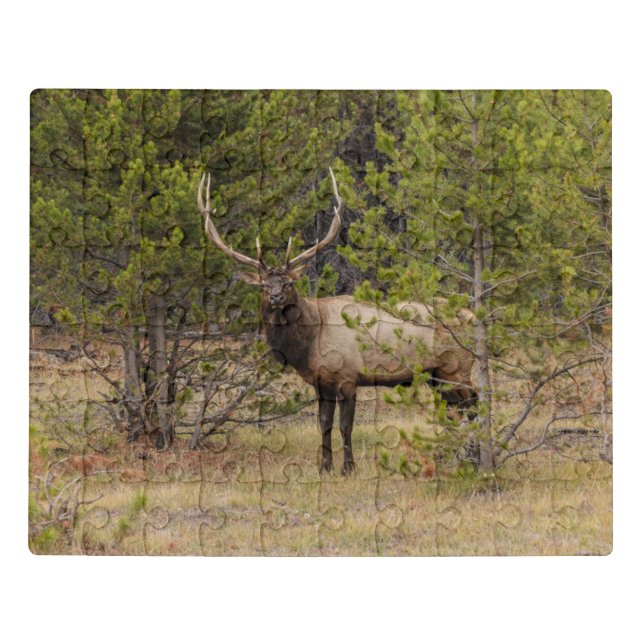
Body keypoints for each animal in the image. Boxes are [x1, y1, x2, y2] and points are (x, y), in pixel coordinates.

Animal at [197, 168, 478, 475]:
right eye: (263, 284)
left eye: (288, 283)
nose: (275, 297)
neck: (310, 344)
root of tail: (472, 315)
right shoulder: (321, 384)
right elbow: (324, 425)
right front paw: (325, 467)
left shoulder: (347, 377)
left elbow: (345, 426)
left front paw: (348, 468)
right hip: (437, 375)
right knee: (455, 410)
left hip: (456, 368)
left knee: (474, 404)